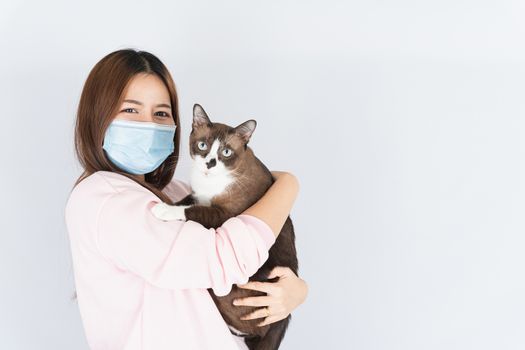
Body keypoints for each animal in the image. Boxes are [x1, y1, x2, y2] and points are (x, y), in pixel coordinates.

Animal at [151, 104, 298, 350]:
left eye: (226, 152)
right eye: (202, 146)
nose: (210, 163)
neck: (209, 183)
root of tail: (283, 318)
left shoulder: (225, 215)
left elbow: (192, 211)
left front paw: (163, 210)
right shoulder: (196, 195)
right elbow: (184, 201)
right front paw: (167, 203)